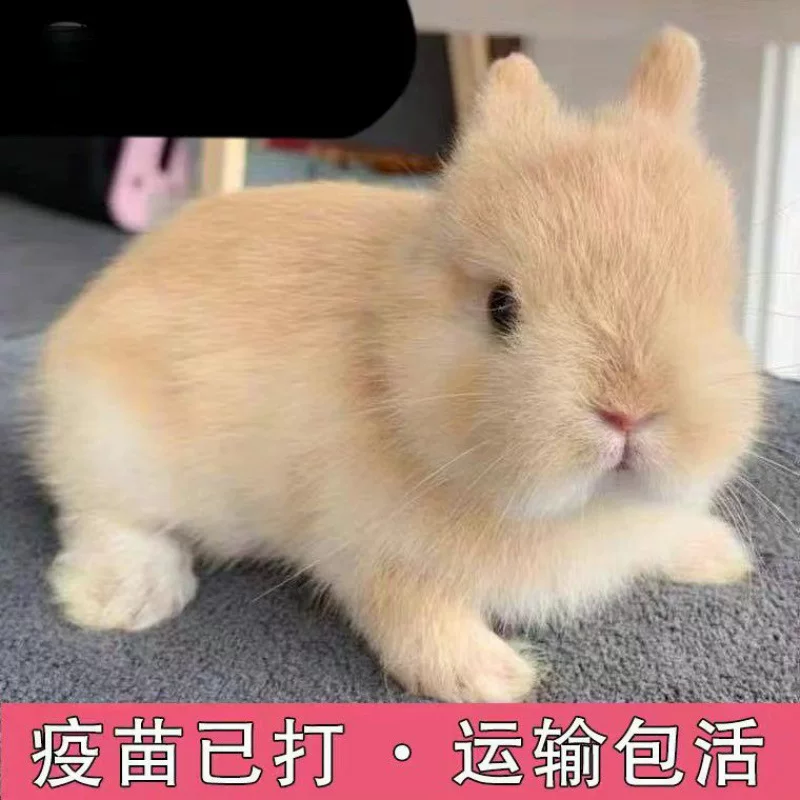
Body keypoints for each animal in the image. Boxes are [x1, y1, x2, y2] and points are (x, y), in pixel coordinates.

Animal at [29, 26, 762, 703]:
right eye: (500, 306)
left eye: (714, 298)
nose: (628, 410)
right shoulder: (369, 549)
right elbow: (411, 613)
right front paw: (492, 678)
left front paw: (722, 555)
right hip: (114, 444)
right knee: (101, 515)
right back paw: (126, 599)